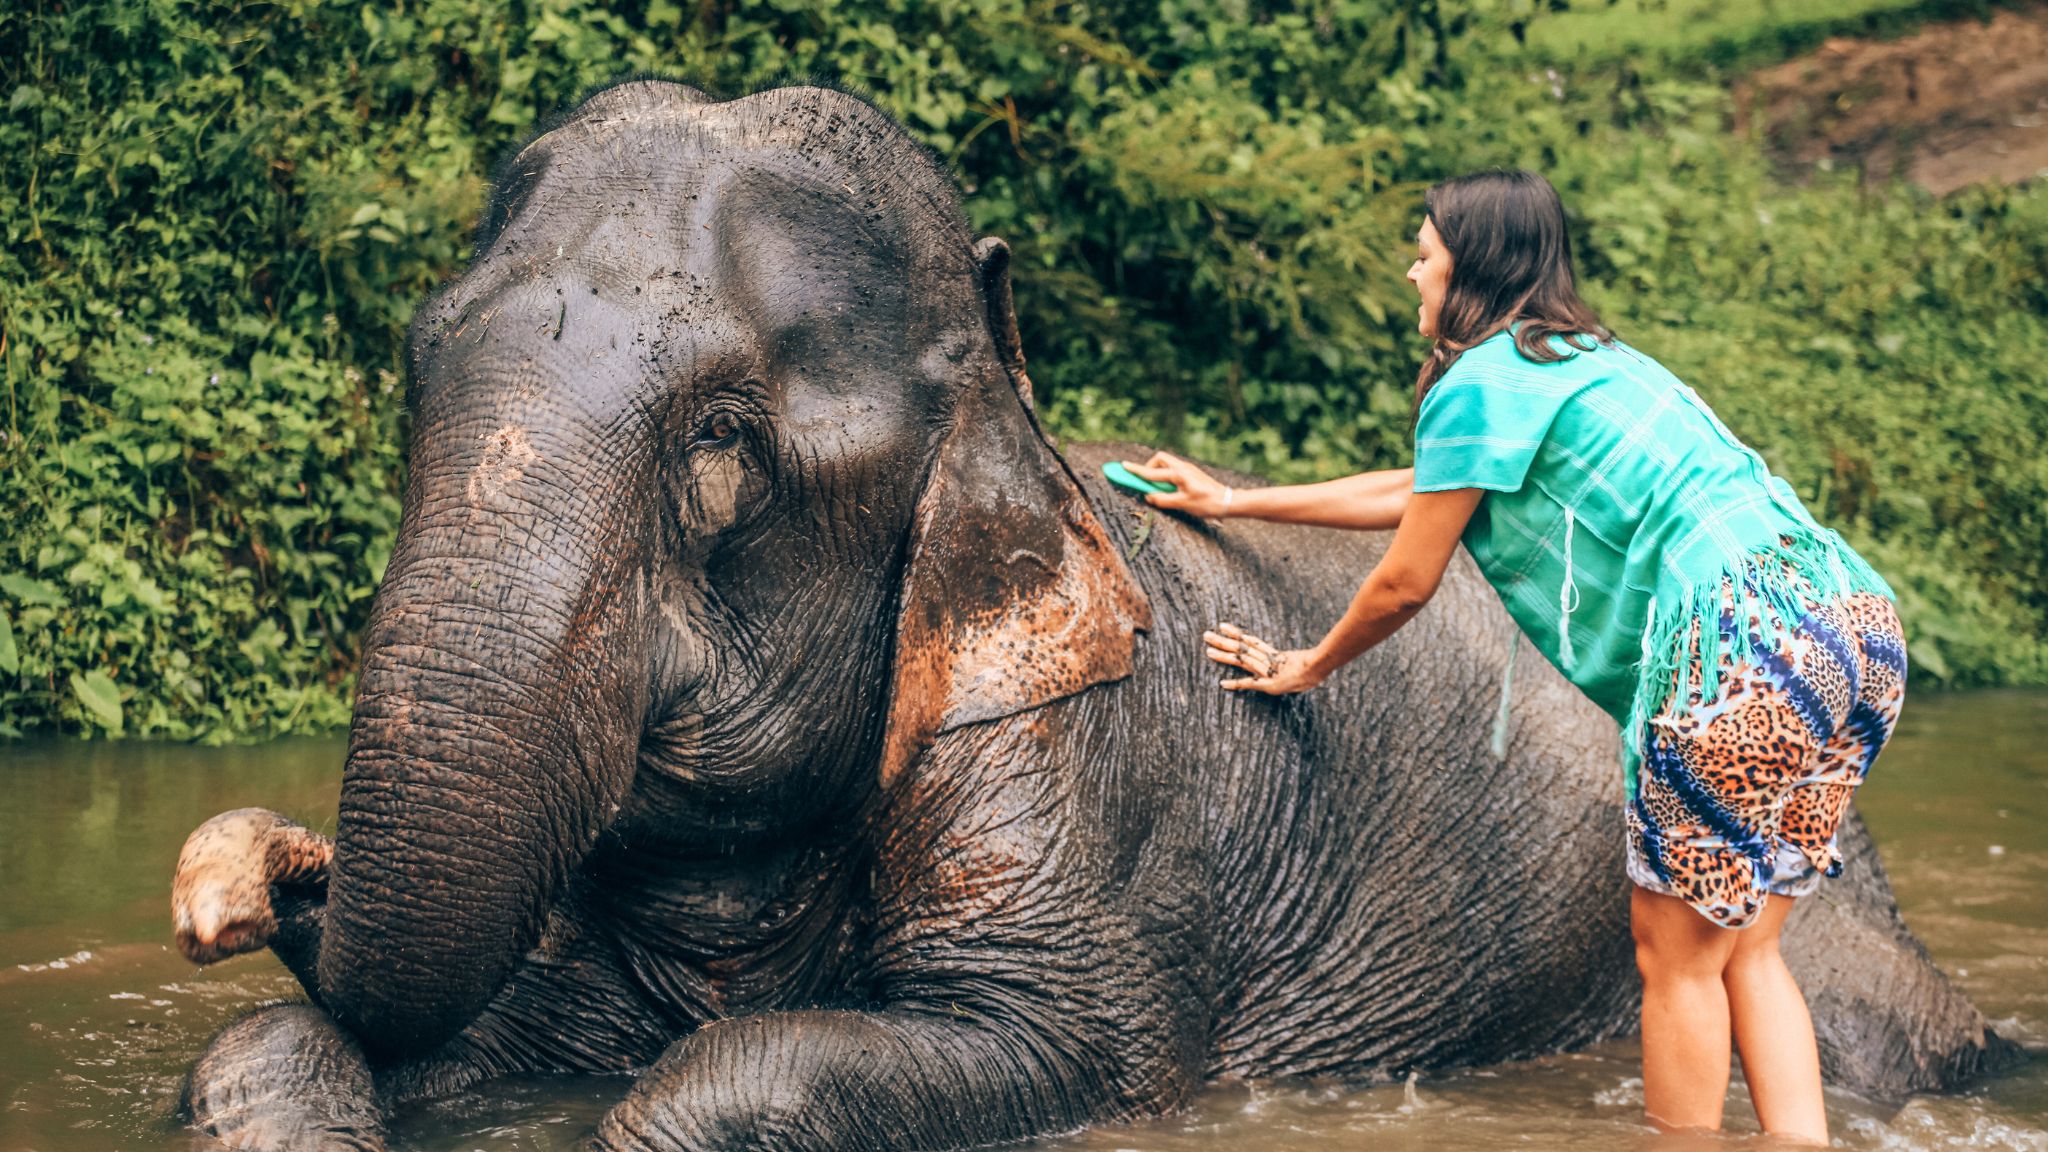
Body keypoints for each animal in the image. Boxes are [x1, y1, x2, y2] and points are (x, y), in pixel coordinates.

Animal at [169, 80, 2015, 1152]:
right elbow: (343, 1034)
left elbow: (1036, 1044)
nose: (257, 874)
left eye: (722, 442)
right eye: (416, 368)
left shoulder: (1086, 769)